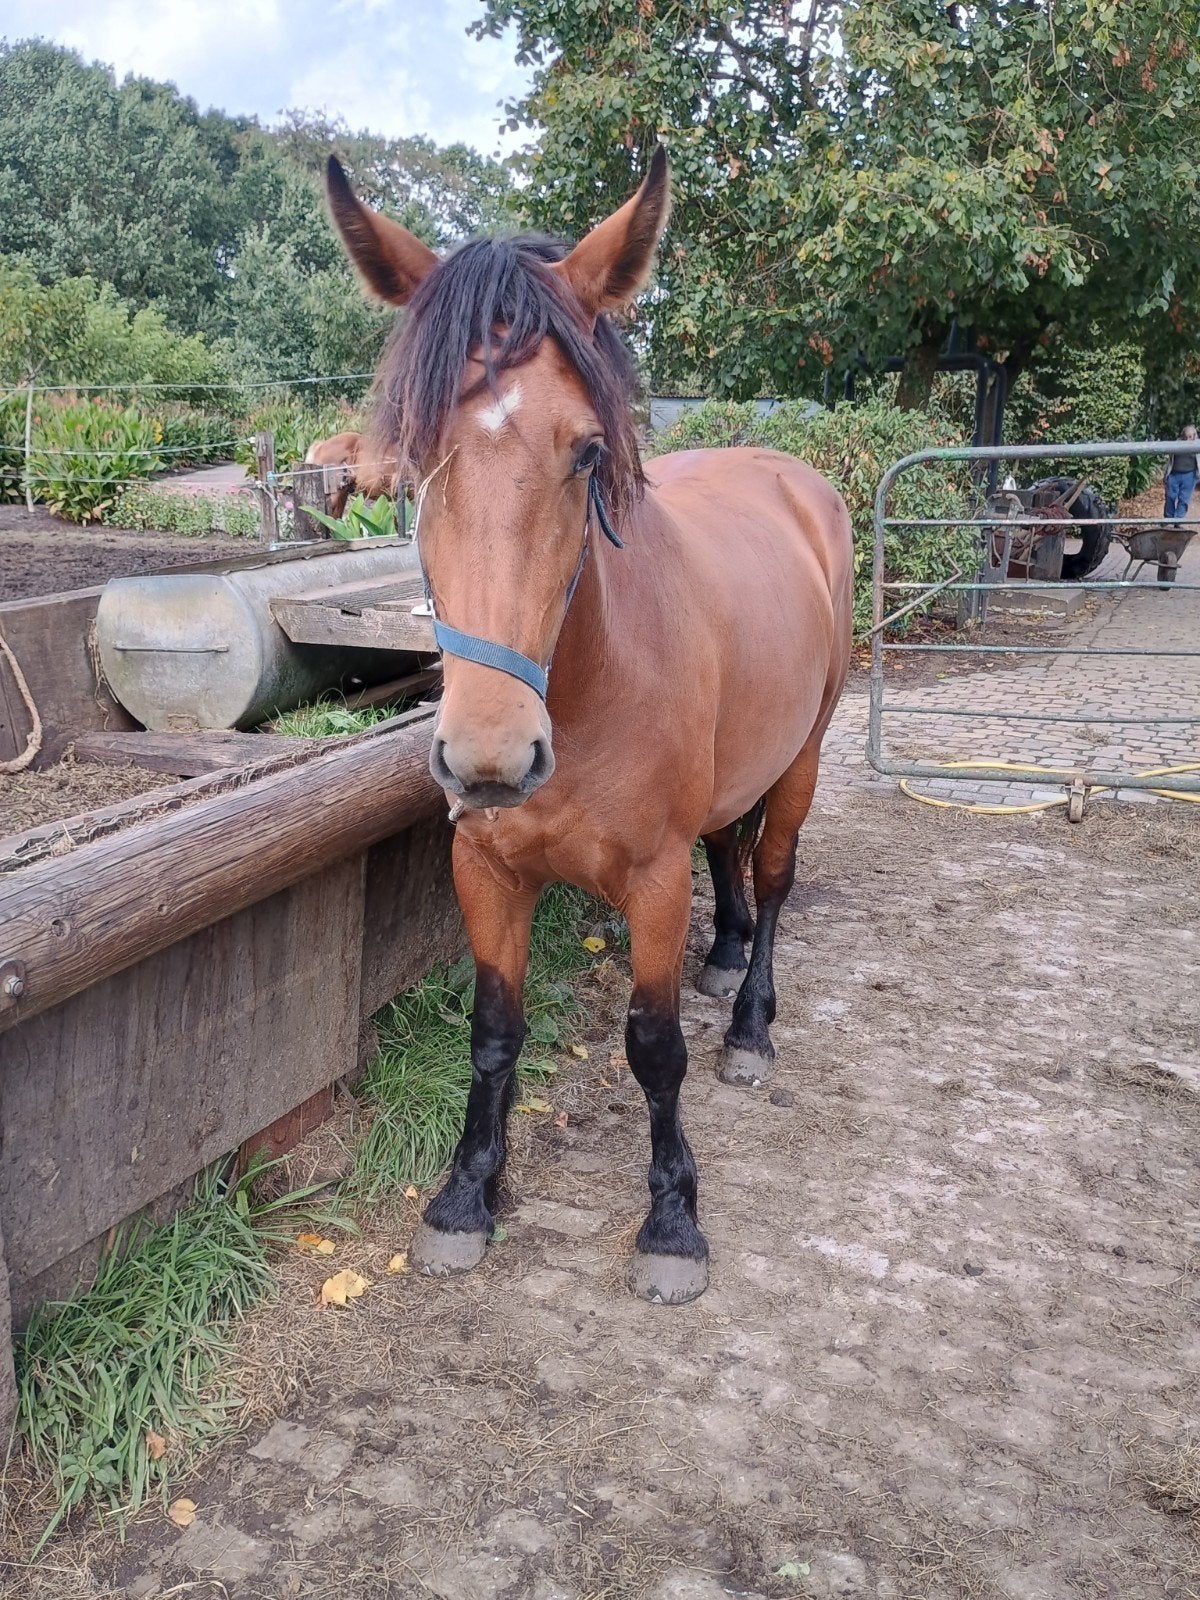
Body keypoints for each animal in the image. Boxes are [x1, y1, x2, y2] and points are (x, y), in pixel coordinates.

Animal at [326, 148, 854, 1303]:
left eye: (584, 452)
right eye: (411, 464)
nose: (489, 756)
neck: (590, 682)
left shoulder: (649, 881)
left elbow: (654, 1045)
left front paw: (672, 1220)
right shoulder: (484, 866)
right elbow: (493, 1032)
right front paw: (466, 1196)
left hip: (805, 753)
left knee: (775, 873)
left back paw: (751, 1020)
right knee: (730, 843)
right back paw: (726, 950)